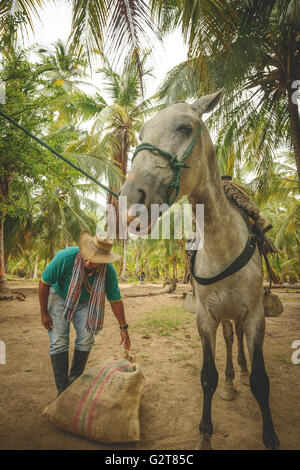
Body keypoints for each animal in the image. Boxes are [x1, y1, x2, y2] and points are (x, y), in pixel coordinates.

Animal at [119, 90, 278, 450]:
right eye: (141, 133)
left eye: (184, 127)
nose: (131, 198)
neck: (223, 246)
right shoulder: (206, 318)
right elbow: (209, 377)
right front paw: (205, 434)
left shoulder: (255, 315)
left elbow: (261, 380)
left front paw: (270, 436)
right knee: (230, 341)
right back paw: (232, 383)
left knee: (239, 344)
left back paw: (241, 373)